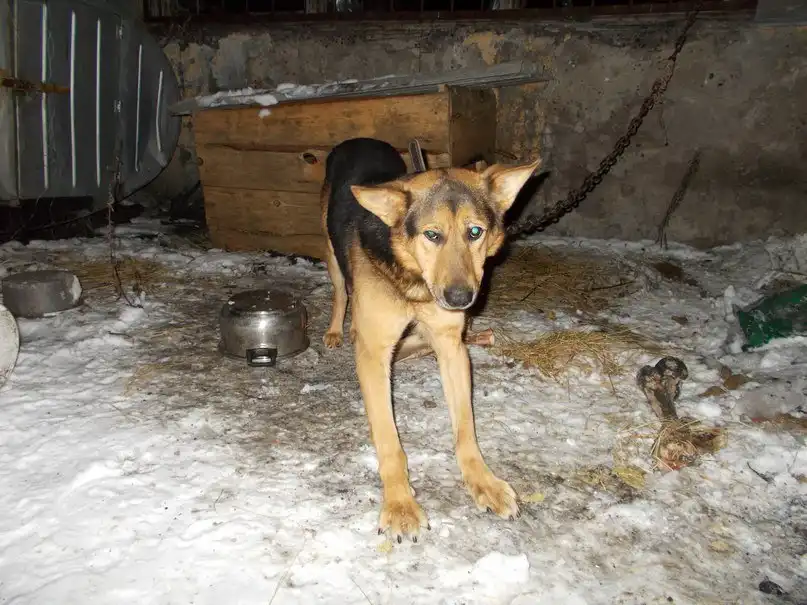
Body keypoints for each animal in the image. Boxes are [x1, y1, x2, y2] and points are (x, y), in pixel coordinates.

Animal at [320, 137, 540, 542]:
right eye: (432, 235)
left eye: (475, 232)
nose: (460, 298)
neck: (415, 282)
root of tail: (359, 140)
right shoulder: (373, 354)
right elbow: (389, 441)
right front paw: (400, 505)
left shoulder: (450, 345)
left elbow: (465, 428)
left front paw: (483, 482)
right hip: (330, 253)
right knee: (341, 291)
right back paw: (336, 330)